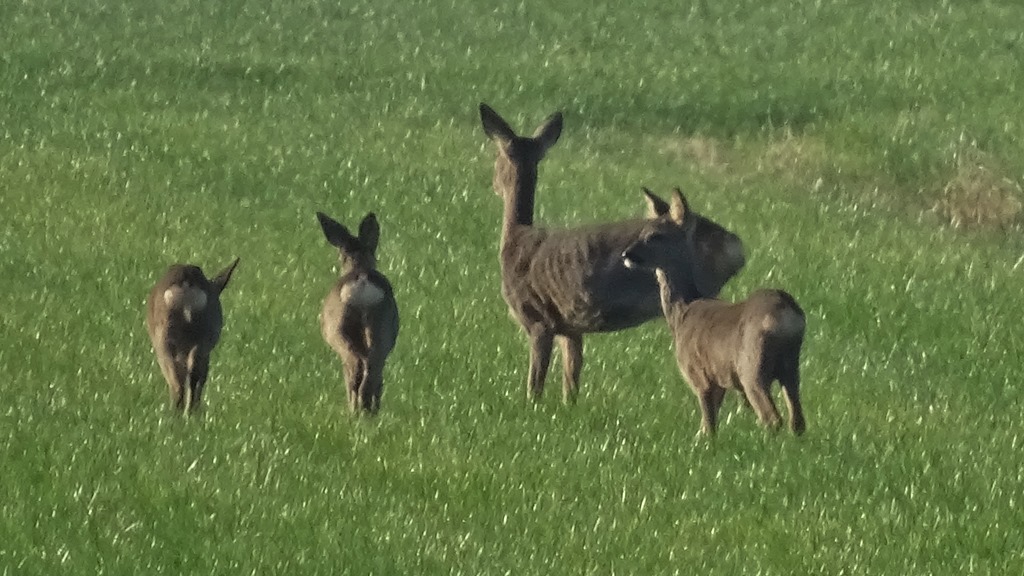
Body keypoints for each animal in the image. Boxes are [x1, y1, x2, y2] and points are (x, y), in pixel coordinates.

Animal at [316, 211, 399, 414]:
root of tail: (361, 282)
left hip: (340, 330)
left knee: (355, 367)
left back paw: (357, 410)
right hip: (381, 328)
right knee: (372, 368)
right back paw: (369, 409)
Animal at [479, 103, 746, 404]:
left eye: (497, 158)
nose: (493, 183)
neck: (516, 238)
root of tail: (736, 246)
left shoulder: (537, 318)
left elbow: (535, 382)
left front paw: (531, 406)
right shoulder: (571, 328)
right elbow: (571, 379)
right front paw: (569, 406)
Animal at [621, 190, 807, 435]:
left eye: (656, 236)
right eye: (642, 232)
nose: (627, 254)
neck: (682, 312)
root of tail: (787, 313)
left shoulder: (700, 376)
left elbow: (707, 426)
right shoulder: (719, 380)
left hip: (752, 367)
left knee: (772, 418)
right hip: (790, 368)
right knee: (798, 421)